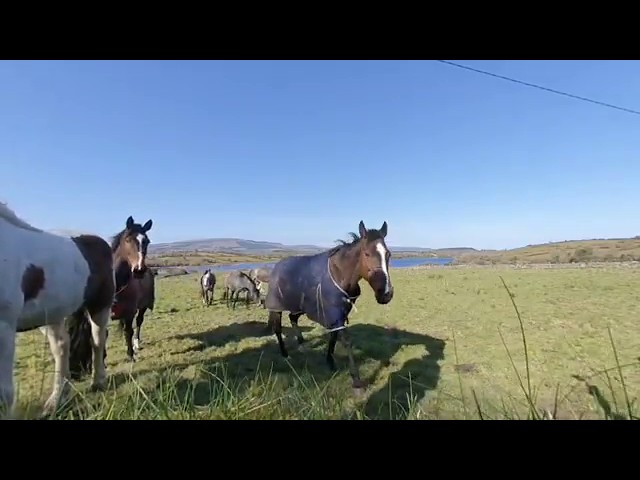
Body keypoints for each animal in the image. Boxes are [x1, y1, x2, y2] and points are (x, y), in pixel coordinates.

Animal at [0, 201, 114, 418]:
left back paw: (98, 381)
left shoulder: (4, 326)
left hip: (100, 305)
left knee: (97, 341)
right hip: (51, 313)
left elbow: (4, 394)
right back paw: (57, 399)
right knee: (62, 346)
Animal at [262, 219, 392, 392]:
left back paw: (302, 345)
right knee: (277, 328)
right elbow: (345, 340)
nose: (386, 293)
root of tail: (276, 267)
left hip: (300, 307)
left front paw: (330, 362)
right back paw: (285, 354)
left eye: (388, 254)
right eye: (367, 254)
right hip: (277, 307)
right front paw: (356, 380)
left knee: (292, 318)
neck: (339, 275)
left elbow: (334, 337)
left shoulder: (338, 314)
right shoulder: (335, 314)